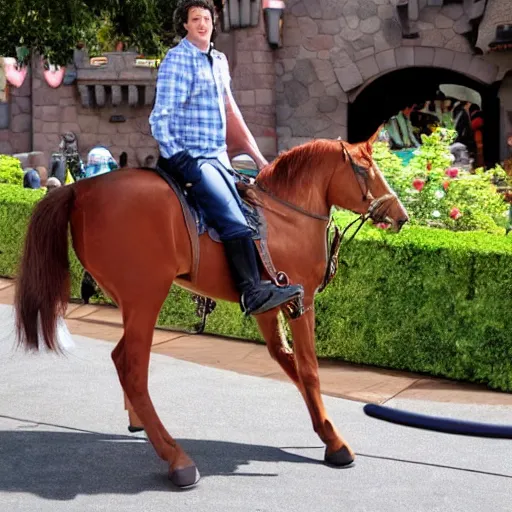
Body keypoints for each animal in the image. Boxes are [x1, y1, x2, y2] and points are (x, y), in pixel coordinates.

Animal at [15, 132, 408, 488]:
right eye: (364, 168)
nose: (400, 215)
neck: (286, 217)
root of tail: (80, 190)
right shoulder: (302, 301)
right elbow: (309, 368)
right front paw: (335, 442)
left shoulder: (267, 306)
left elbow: (288, 362)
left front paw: (325, 429)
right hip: (146, 297)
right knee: (130, 365)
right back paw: (177, 459)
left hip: (130, 300)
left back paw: (141, 422)